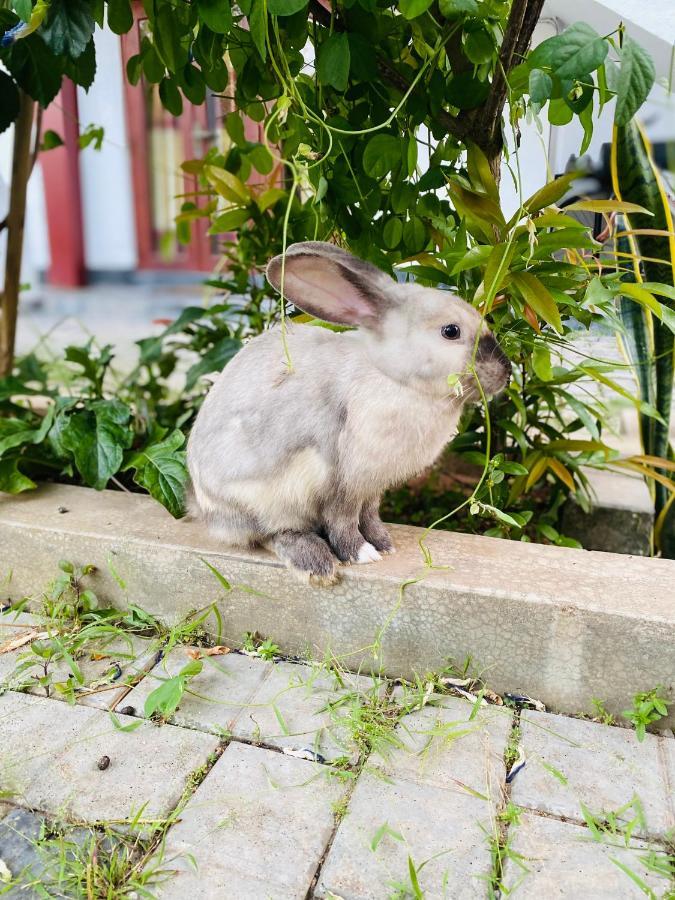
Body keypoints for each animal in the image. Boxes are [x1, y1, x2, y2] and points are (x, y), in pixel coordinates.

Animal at [187, 243, 510, 588]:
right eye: (450, 331)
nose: (507, 372)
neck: (392, 377)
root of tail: (201, 508)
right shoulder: (341, 482)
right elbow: (342, 520)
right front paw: (361, 554)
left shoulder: (371, 487)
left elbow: (369, 515)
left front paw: (384, 544)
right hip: (263, 503)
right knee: (272, 534)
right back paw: (315, 561)